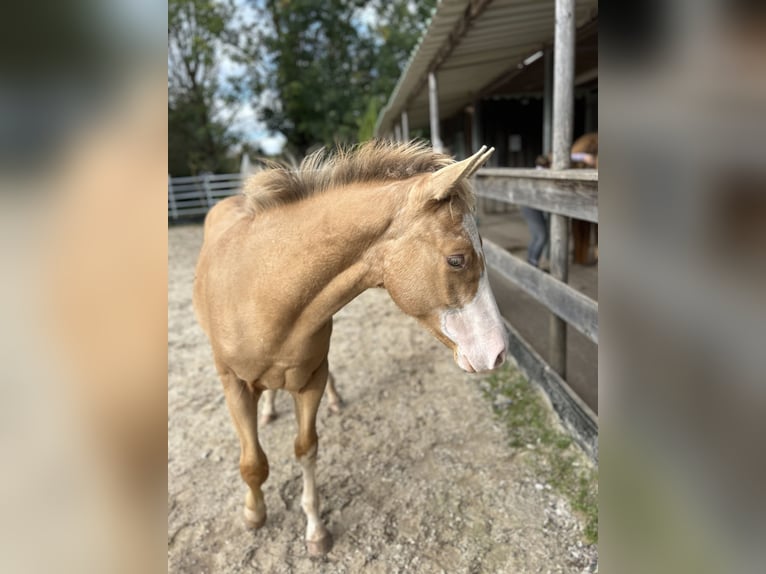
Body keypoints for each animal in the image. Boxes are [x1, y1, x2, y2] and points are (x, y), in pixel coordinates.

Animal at [194, 141, 510, 560]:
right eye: (457, 259)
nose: (498, 352)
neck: (263, 290)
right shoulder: (234, 385)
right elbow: (253, 464)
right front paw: (254, 515)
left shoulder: (310, 381)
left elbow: (306, 448)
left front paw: (315, 531)